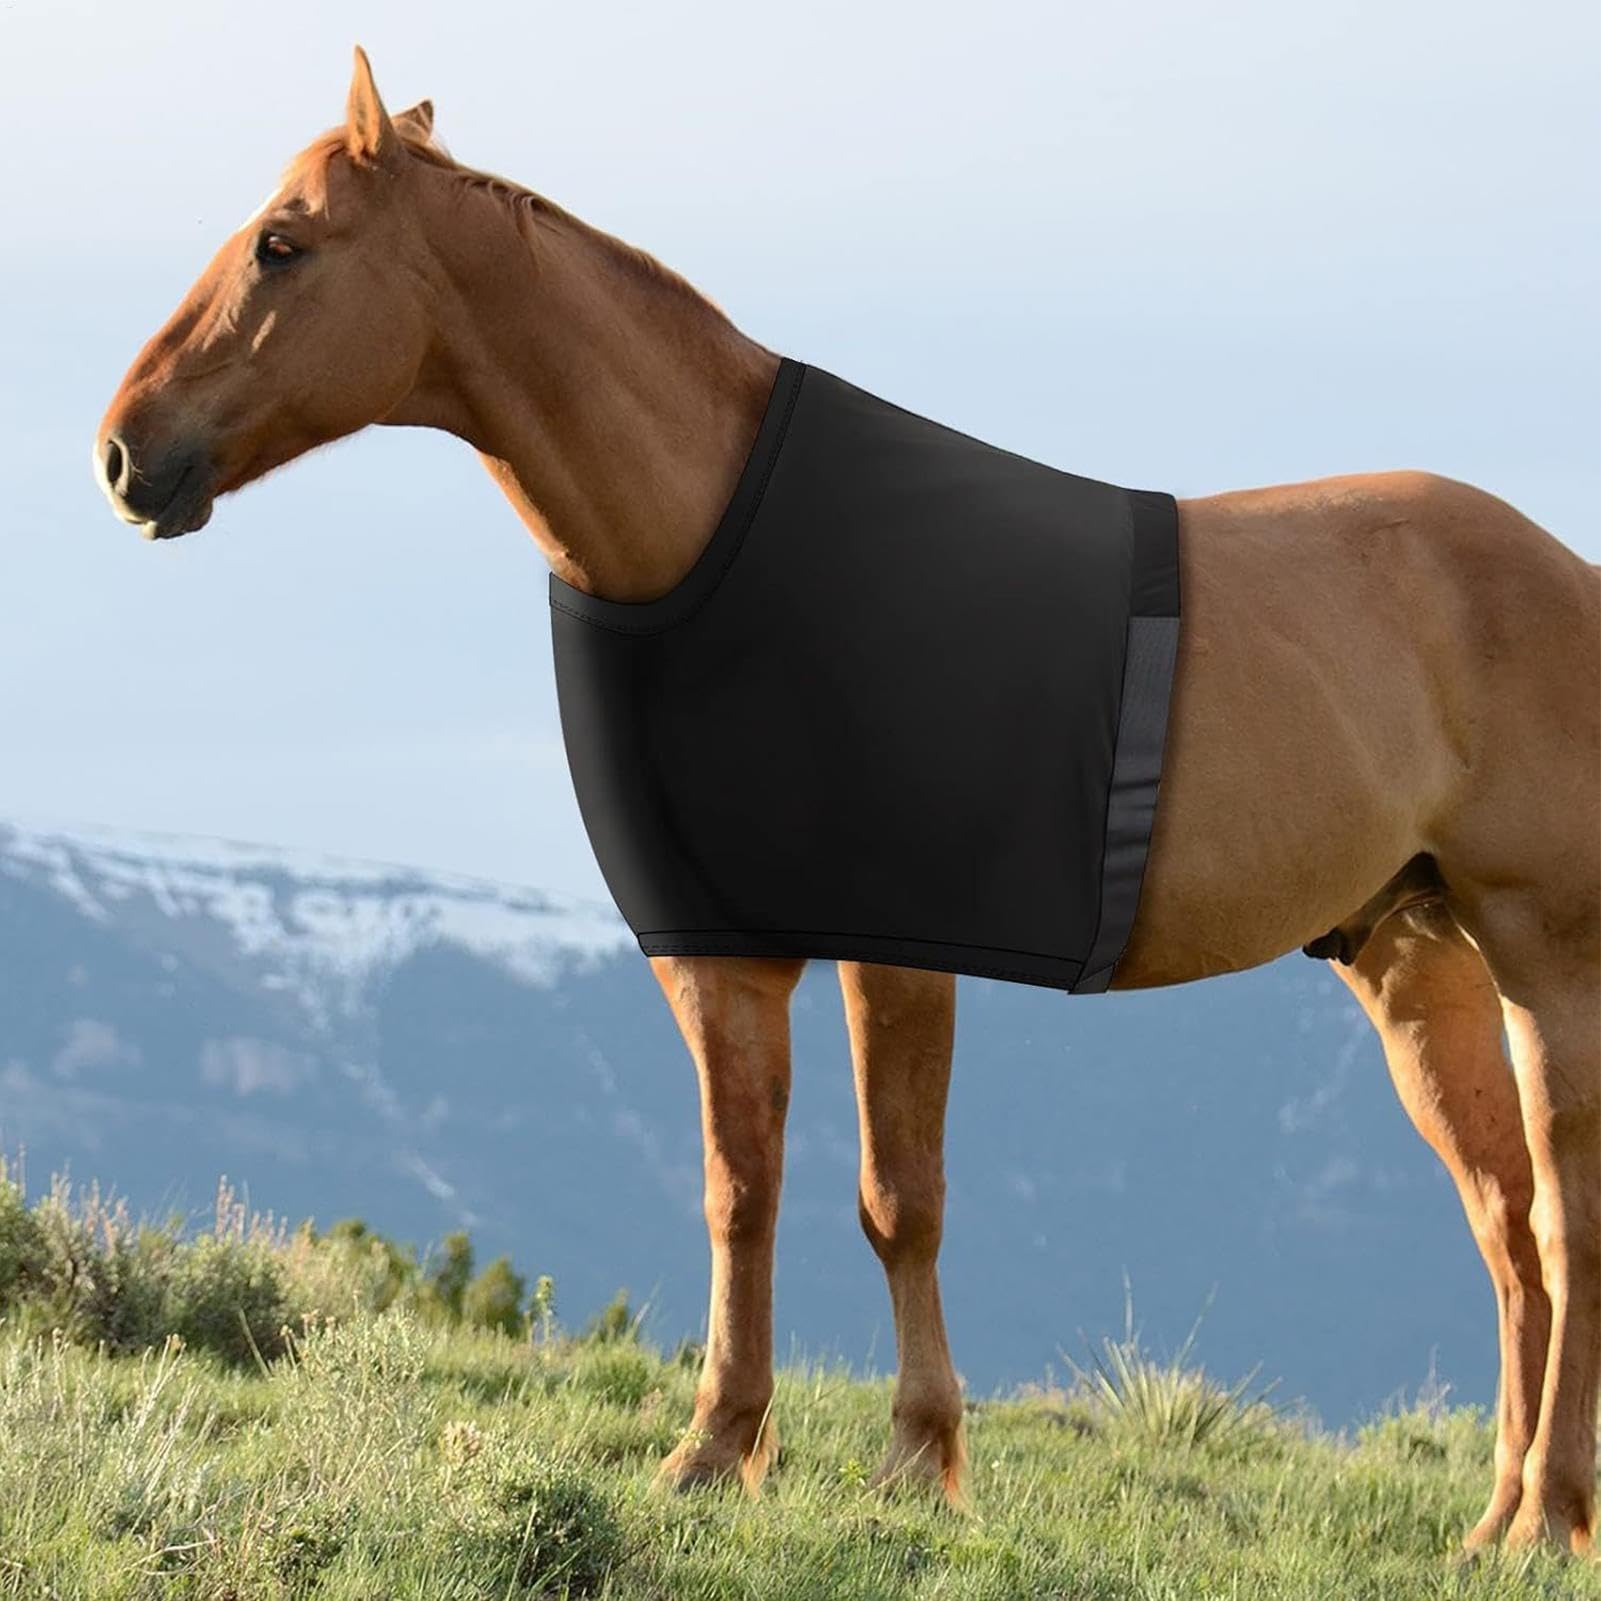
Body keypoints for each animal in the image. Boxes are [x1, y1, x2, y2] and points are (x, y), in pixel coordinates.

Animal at [94, 47, 1599, 1554]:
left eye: (282, 243)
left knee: (1564, 1216)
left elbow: (898, 1199)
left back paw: (1545, 1516)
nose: (121, 453)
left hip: (1543, 956)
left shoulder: (898, 949)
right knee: (1506, 1228)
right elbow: (739, 1189)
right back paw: (1493, 1519)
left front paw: (917, 1457)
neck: (713, 537)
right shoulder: (719, 954)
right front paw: (716, 1446)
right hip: (1416, 963)